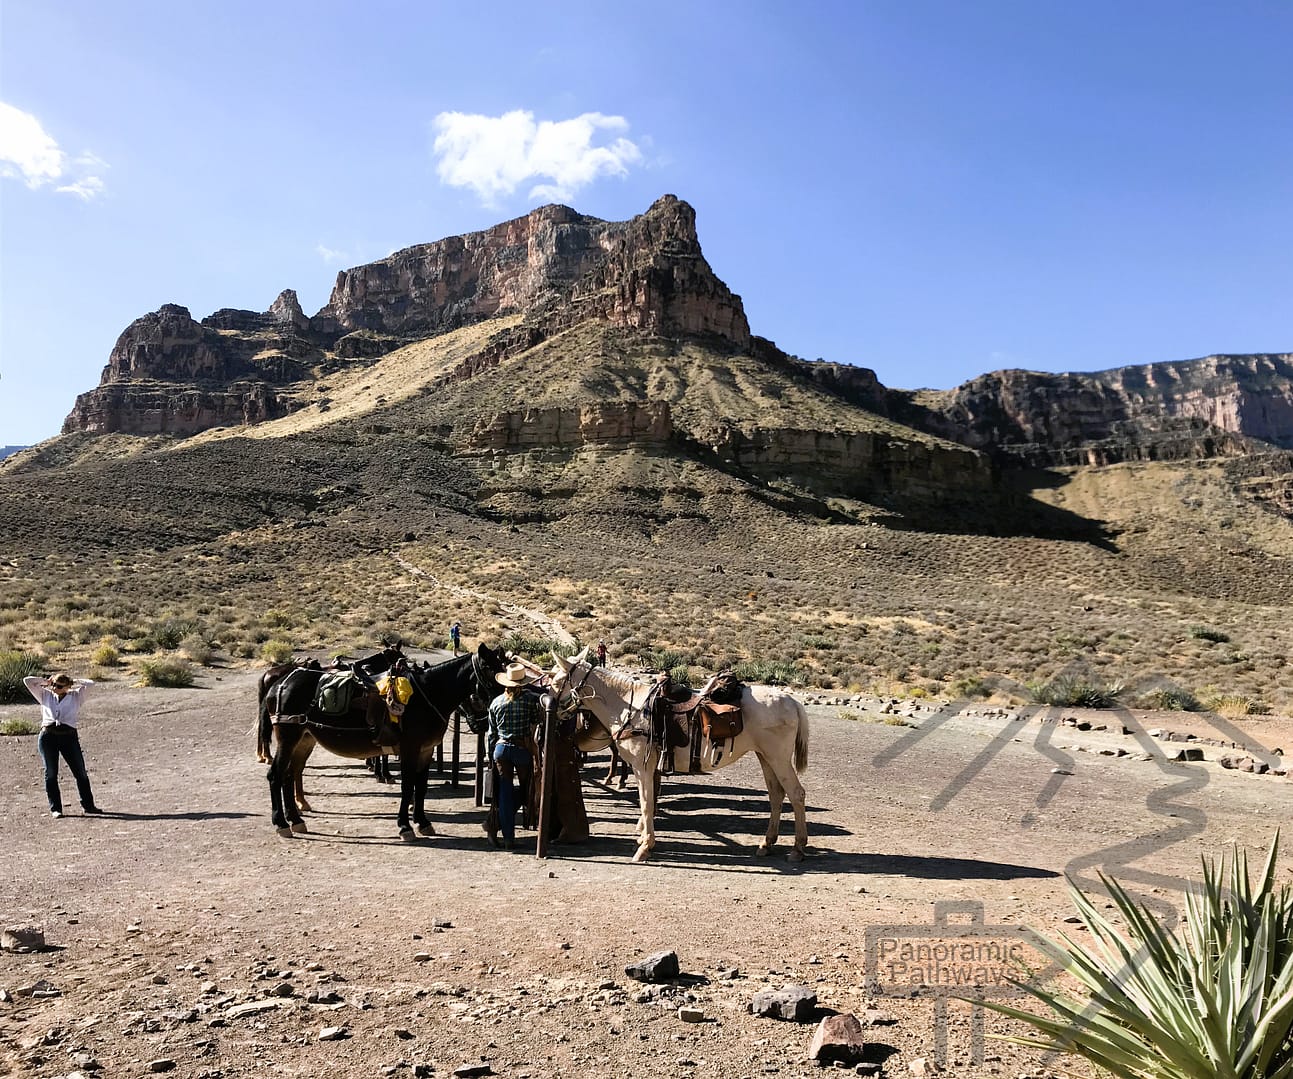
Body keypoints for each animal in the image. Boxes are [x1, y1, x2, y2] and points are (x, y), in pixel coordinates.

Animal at [258, 644, 504, 838]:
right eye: (492, 672)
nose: (483, 724)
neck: (426, 696)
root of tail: (279, 684)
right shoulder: (410, 749)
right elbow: (408, 786)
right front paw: (405, 827)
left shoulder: (426, 751)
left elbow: (421, 787)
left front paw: (423, 822)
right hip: (288, 738)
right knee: (276, 775)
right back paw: (282, 823)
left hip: (304, 740)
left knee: (289, 775)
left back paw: (296, 820)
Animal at [548, 646, 806, 859]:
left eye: (556, 681)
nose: (547, 704)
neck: (629, 707)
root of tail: (792, 701)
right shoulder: (643, 767)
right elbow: (647, 801)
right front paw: (643, 839)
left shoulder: (643, 767)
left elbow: (646, 802)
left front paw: (645, 846)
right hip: (765, 757)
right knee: (776, 795)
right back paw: (766, 844)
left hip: (778, 758)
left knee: (796, 793)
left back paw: (797, 848)